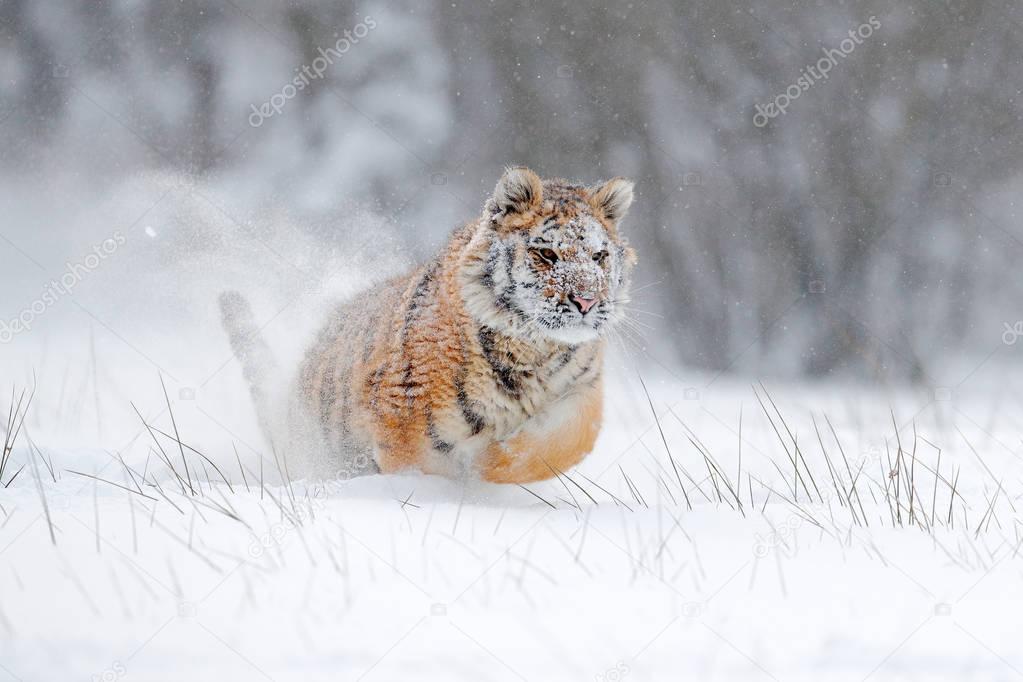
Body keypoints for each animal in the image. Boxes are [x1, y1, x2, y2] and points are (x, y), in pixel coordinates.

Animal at [223, 166, 634, 484]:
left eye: (598, 256)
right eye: (547, 254)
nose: (586, 301)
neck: (535, 353)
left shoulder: (582, 389)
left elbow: (565, 442)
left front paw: (487, 464)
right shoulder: (406, 424)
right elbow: (420, 476)